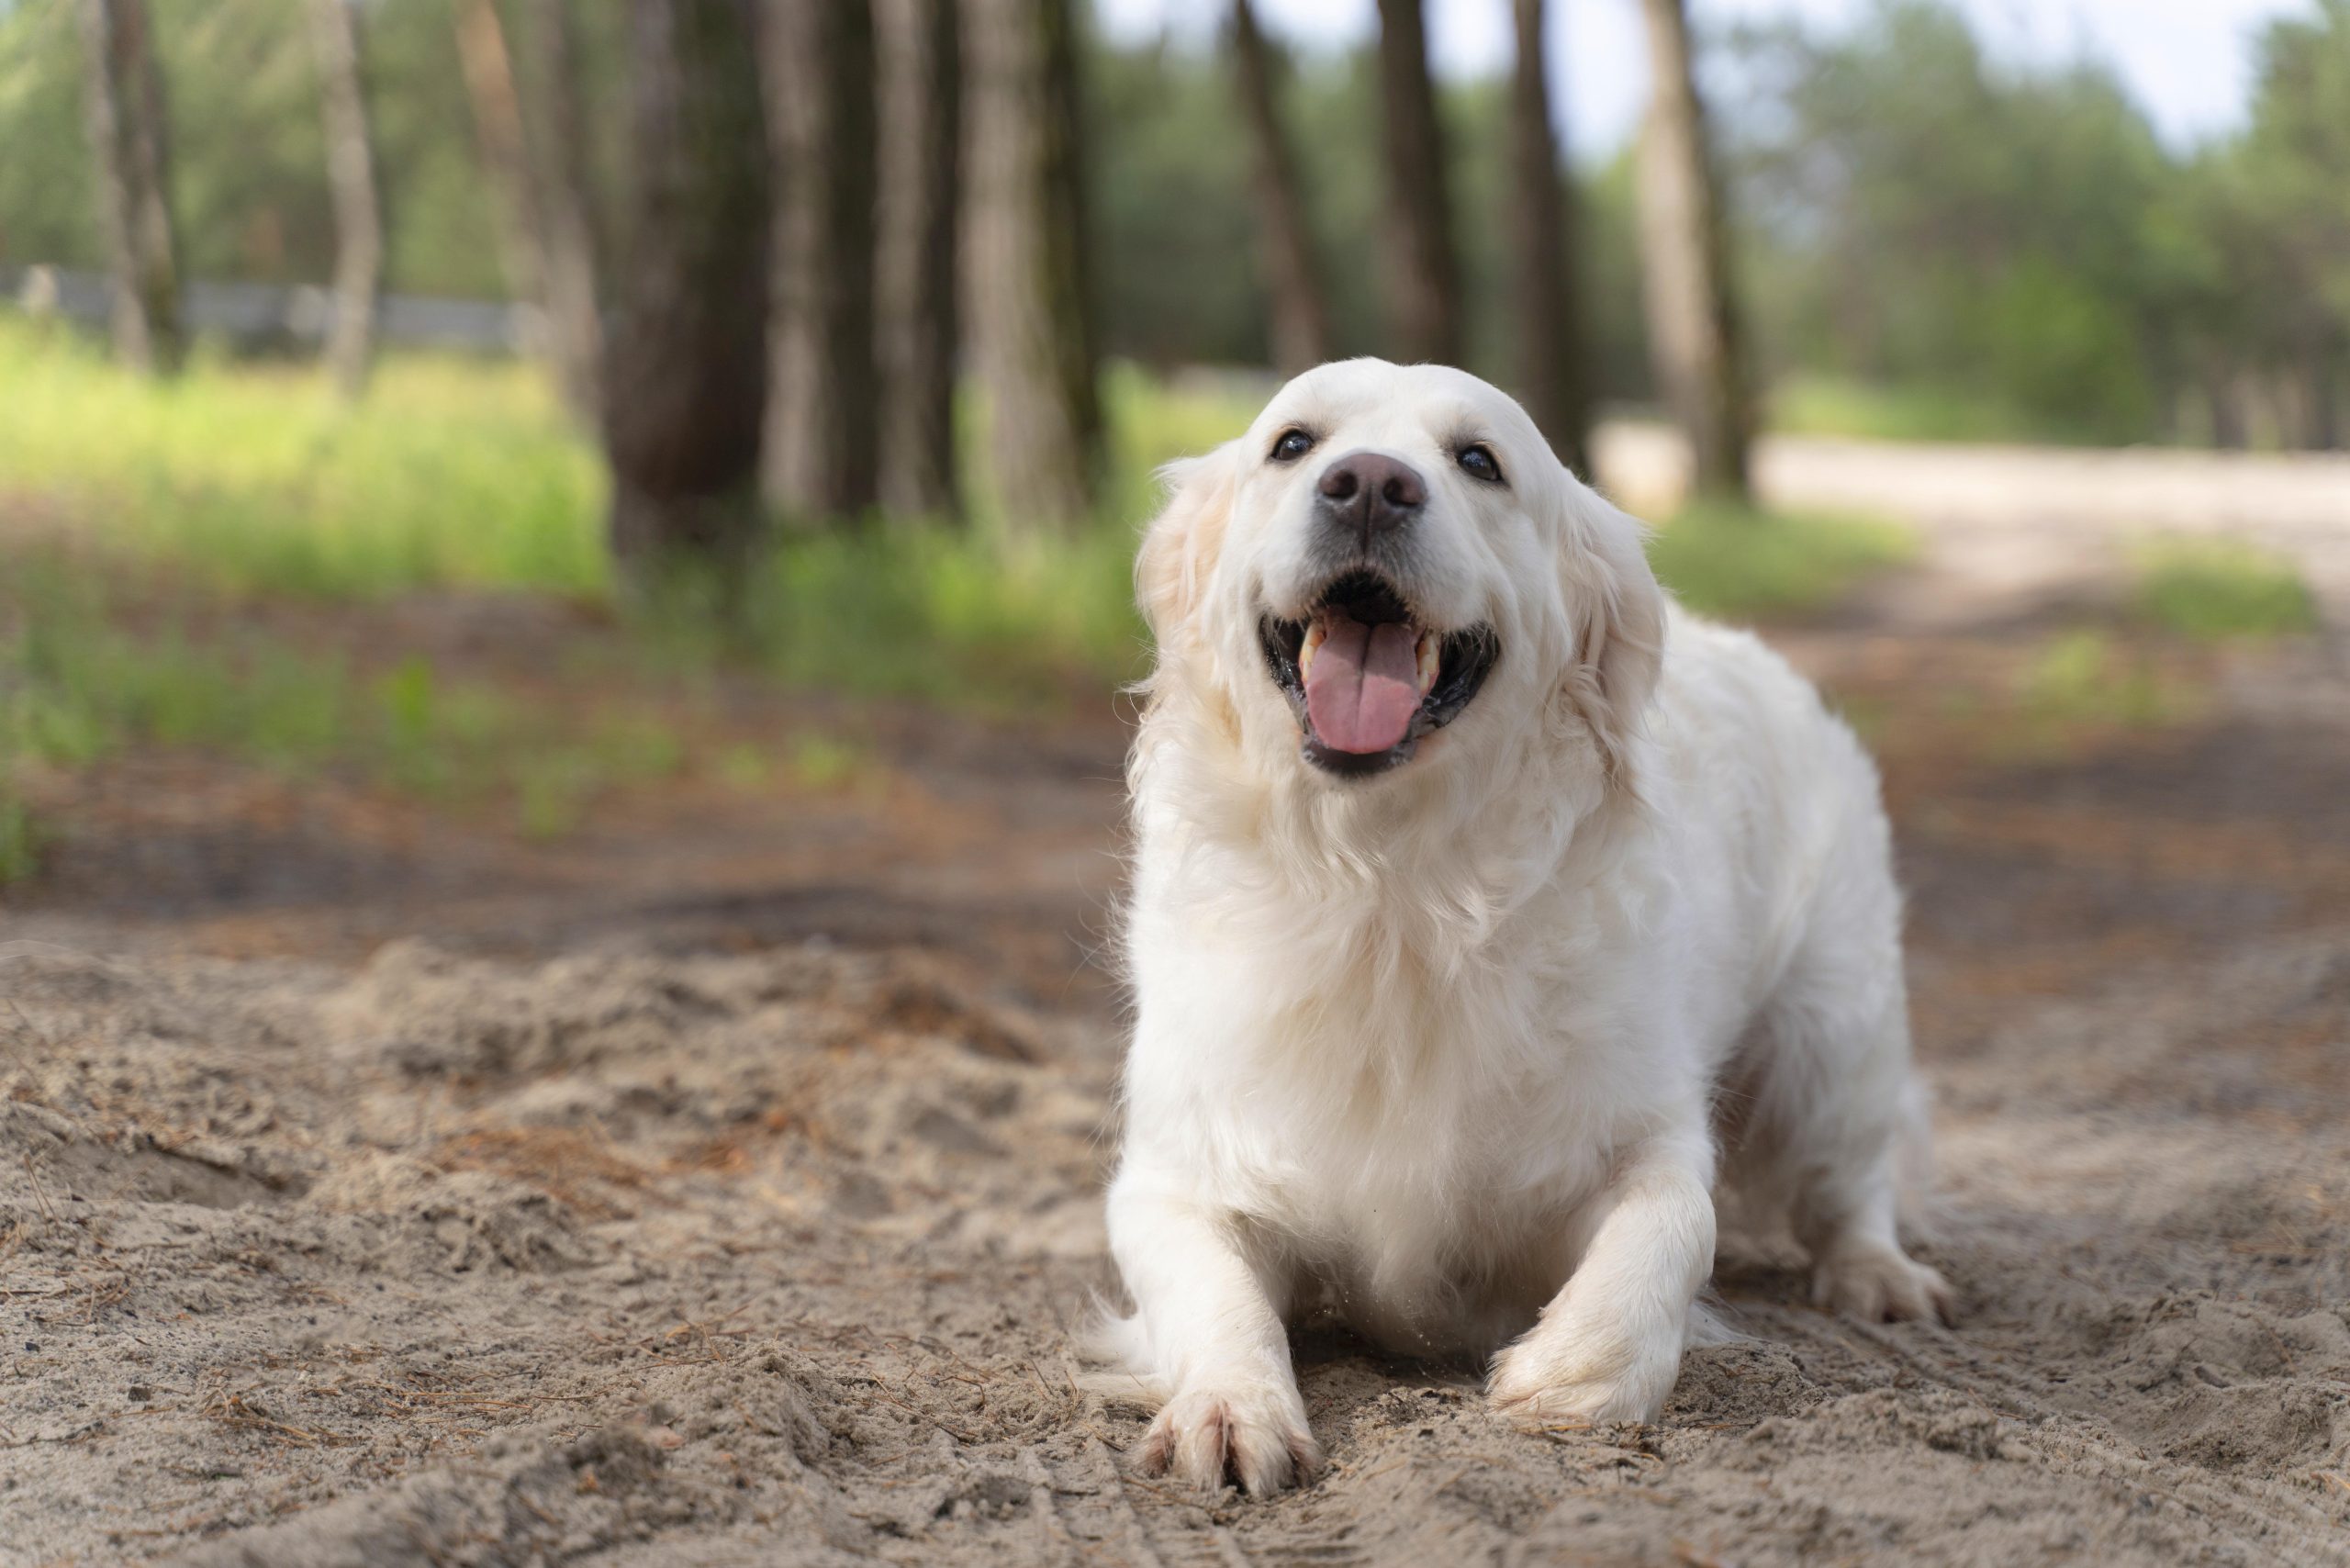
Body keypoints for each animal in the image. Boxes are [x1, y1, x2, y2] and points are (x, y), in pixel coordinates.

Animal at [1100, 359, 1945, 1495]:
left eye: (1478, 460)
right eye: (1292, 443)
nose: (1368, 486)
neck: (1391, 891)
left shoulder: (1640, 1127)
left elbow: (1676, 1218)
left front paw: (1574, 1369)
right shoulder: (1176, 1171)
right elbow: (1212, 1290)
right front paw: (1232, 1407)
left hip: (1832, 1035)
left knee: (1852, 1176)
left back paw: (1879, 1274)